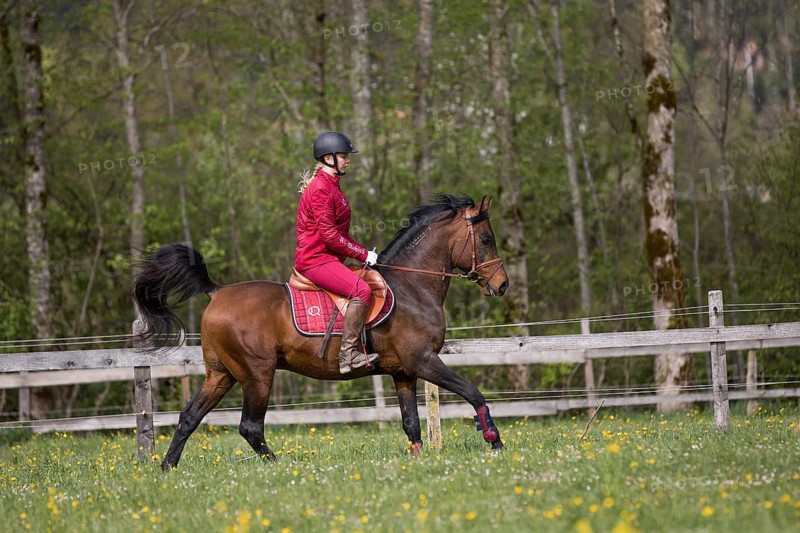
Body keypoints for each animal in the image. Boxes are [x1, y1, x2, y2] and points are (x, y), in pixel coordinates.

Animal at [133, 194, 509, 471]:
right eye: (487, 239)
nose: (502, 285)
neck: (411, 286)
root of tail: (218, 291)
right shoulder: (424, 362)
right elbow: (473, 393)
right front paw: (495, 441)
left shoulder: (404, 372)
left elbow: (411, 423)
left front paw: (417, 461)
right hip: (257, 373)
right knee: (250, 426)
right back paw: (279, 466)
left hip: (221, 374)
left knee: (189, 417)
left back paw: (167, 467)